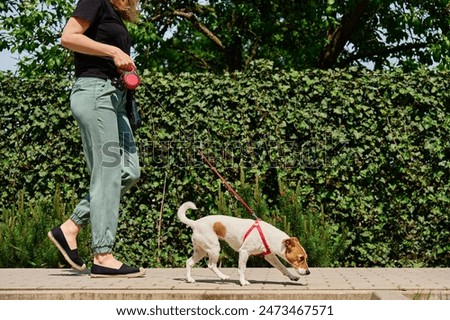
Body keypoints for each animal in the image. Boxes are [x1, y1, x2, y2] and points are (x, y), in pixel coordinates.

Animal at [177, 201, 310, 286]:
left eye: (305, 257)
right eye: (300, 258)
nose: (308, 272)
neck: (268, 235)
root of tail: (195, 223)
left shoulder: (270, 256)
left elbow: (282, 267)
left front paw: (292, 276)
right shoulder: (244, 252)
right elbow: (242, 269)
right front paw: (243, 282)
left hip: (201, 250)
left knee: (189, 262)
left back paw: (190, 279)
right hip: (214, 248)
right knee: (211, 265)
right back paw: (223, 277)